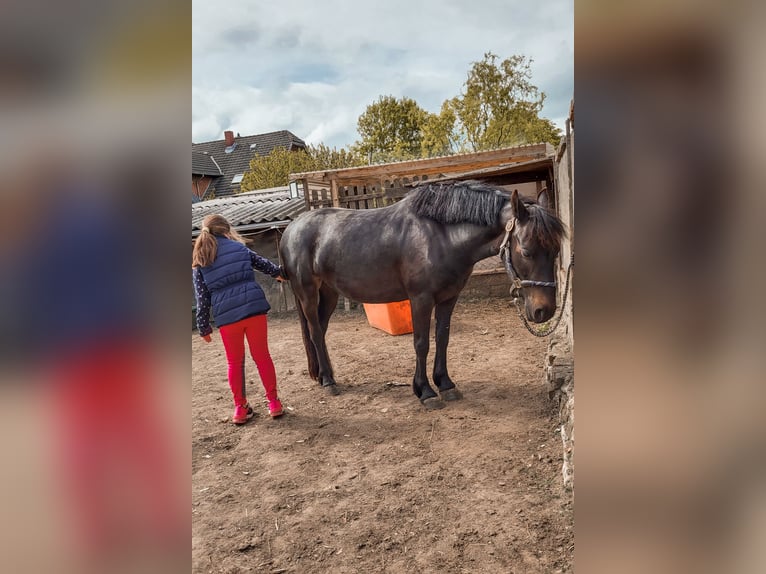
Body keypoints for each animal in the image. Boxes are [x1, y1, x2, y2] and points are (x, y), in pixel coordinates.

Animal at [280, 180, 568, 410]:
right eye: (527, 251)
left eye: (555, 250)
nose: (545, 310)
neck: (440, 235)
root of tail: (291, 229)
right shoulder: (421, 299)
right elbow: (421, 343)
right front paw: (425, 391)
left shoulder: (449, 298)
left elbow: (442, 339)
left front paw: (446, 384)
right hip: (308, 292)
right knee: (315, 331)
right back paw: (329, 381)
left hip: (328, 293)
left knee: (321, 331)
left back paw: (324, 376)